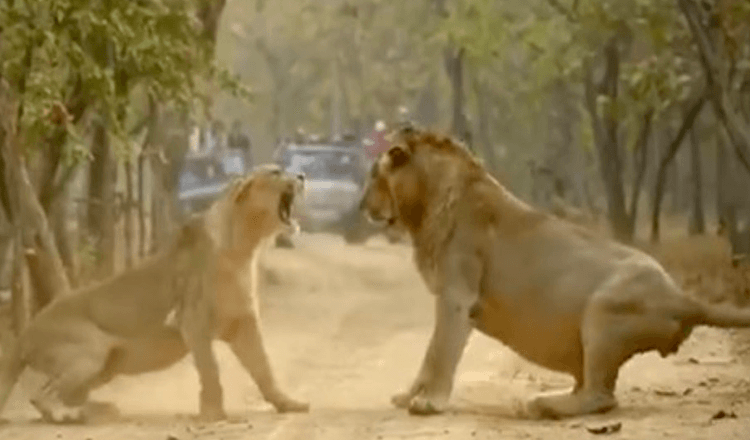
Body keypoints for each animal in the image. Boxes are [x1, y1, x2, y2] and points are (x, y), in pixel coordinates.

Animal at [0, 164, 308, 422]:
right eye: (276, 172)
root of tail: (25, 333)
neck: (245, 247)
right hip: (91, 351)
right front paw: (214, 413)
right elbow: (211, 370)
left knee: (68, 394)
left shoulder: (243, 322)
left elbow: (264, 368)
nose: (302, 176)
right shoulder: (192, 321)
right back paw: (70, 416)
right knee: (41, 395)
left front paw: (289, 404)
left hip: (108, 364)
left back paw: (102, 410)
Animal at [364, 126, 750, 420]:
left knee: (601, 397)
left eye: (374, 176)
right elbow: (428, 359)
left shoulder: (456, 298)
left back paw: (542, 405)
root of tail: (680, 297)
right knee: (593, 388)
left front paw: (429, 403)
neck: (425, 204)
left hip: (602, 311)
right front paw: (408, 396)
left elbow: (438, 353)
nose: (362, 206)